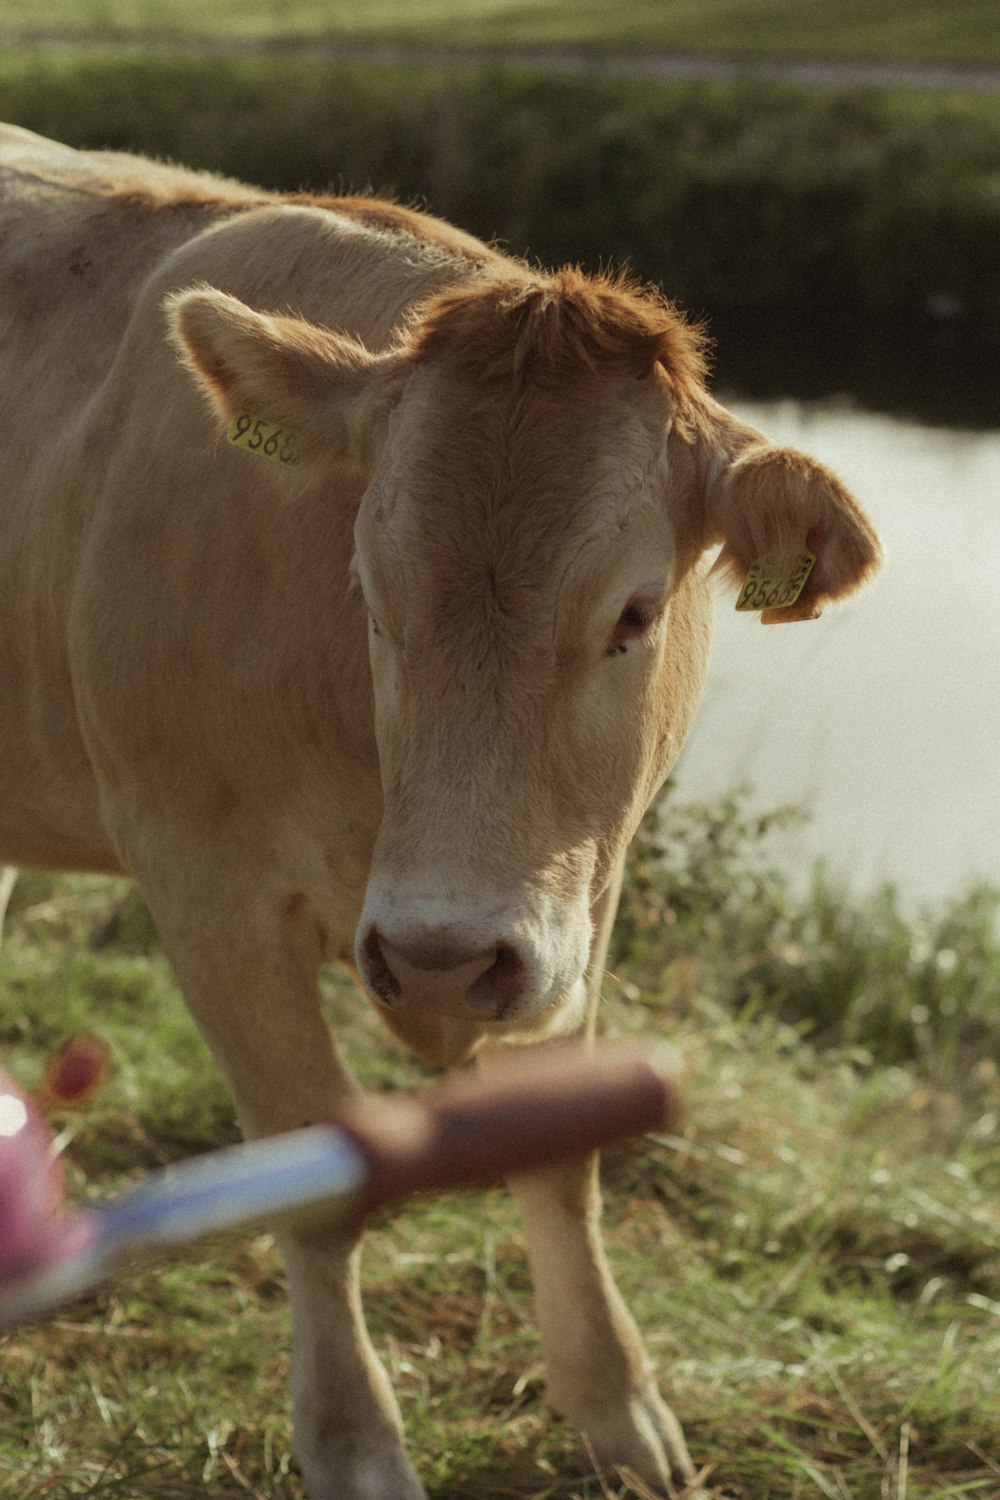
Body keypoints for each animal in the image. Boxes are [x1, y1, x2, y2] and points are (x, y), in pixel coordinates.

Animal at [0, 123, 875, 1494]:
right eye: (368, 583)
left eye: (634, 612)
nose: (440, 957)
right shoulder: (201, 888)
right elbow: (315, 1174)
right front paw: (356, 1446)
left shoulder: (578, 903)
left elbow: (562, 1158)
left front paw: (620, 1409)